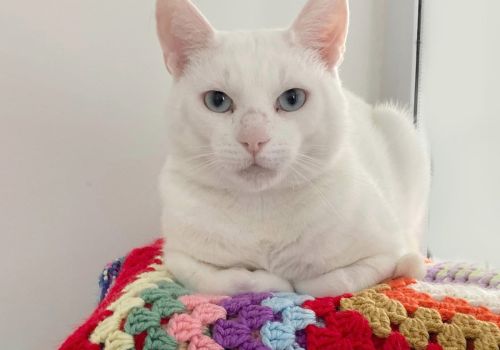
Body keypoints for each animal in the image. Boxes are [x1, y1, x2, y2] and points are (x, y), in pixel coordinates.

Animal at [156, 0, 430, 296]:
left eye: (292, 99)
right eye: (217, 101)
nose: (254, 138)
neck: (262, 209)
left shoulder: (385, 251)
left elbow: (329, 282)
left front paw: (296, 279)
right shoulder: (177, 257)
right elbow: (231, 280)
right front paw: (272, 281)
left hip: (401, 130)